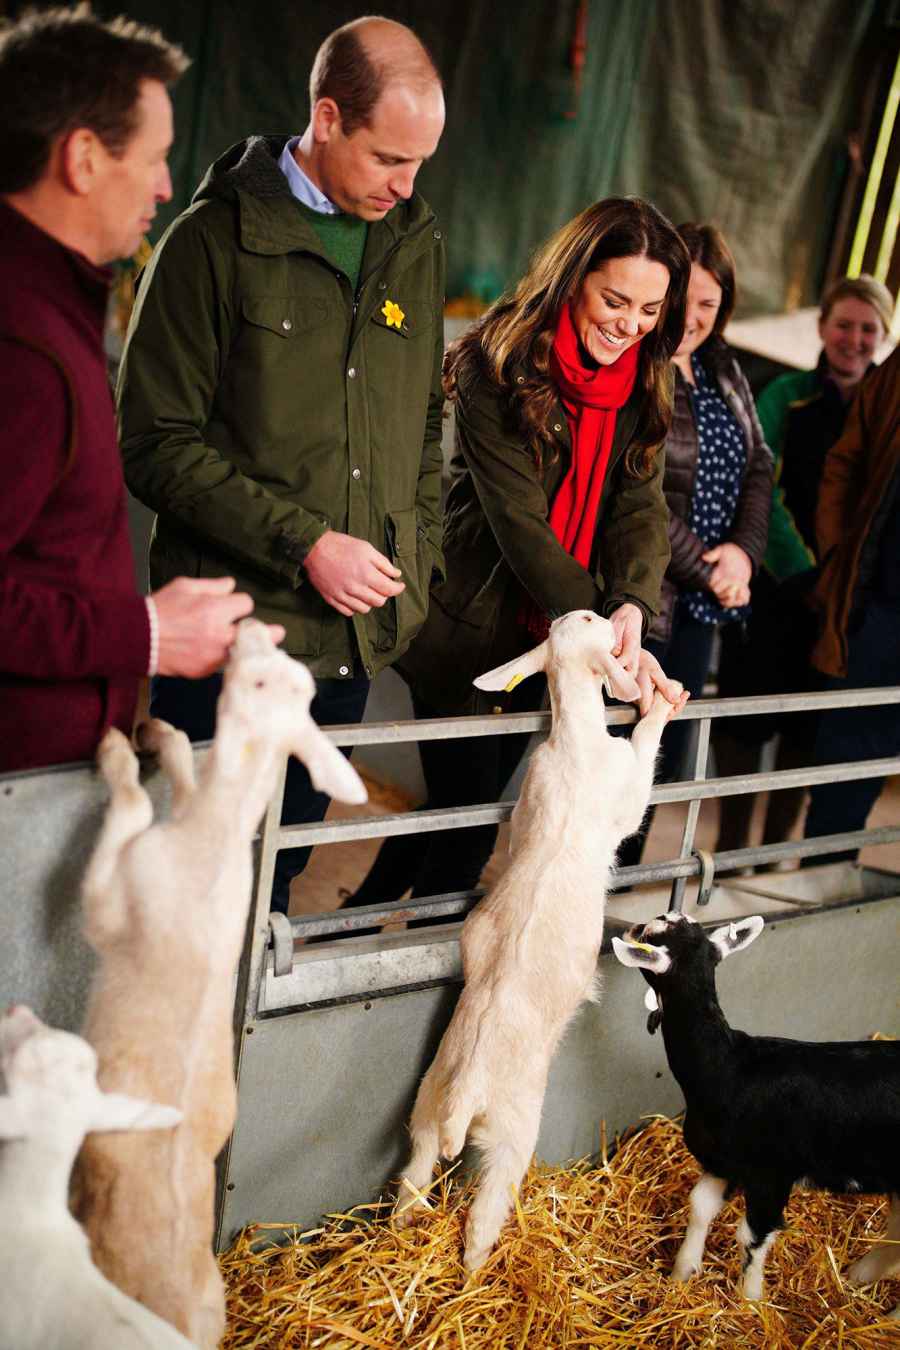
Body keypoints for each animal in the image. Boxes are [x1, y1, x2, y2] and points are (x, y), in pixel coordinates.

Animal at [69, 621, 367, 1350]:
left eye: (260, 678)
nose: (254, 626)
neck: (218, 835)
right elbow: (182, 770)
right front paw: (158, 734)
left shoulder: (111, 901)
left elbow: (130, 805)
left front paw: (116, 751)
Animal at [394, 607, 682, 1269]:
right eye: (592, 619)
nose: (609, 616)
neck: (573, 741)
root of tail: (465, 1091)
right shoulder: (625, 791)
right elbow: (643, 760)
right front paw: (661, 702)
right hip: (512, 1130)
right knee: (482, 1220)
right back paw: (476, 1273)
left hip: (426, 1103)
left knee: (412, 1181)